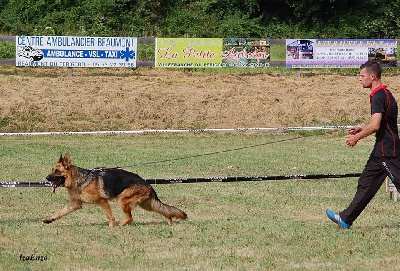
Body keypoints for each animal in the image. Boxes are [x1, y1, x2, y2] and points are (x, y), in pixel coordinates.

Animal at [43, 153, 188, 227]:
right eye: (52, 170)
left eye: (57, 171)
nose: (46, 178)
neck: (79, 179)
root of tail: (148, 184)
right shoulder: (74, 204)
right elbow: (60, 212)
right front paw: (49, 219)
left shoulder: (103, 201)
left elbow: (110, 216)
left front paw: (111, 227)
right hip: (147, 205)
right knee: (164, 210)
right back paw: (169, 221)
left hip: (123, 200)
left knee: (130, 217)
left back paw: (120, 225)